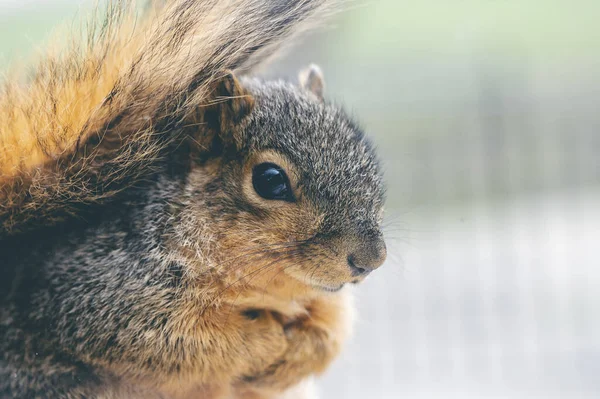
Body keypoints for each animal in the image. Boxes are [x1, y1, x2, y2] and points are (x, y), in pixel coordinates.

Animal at [0, 0, 384, 399]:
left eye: (365, 155)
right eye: (270, 180)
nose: (371, 260)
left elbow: (332, 329)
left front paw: (301, 351)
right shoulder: (95, 291)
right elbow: (186, 342)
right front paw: (268, 342)